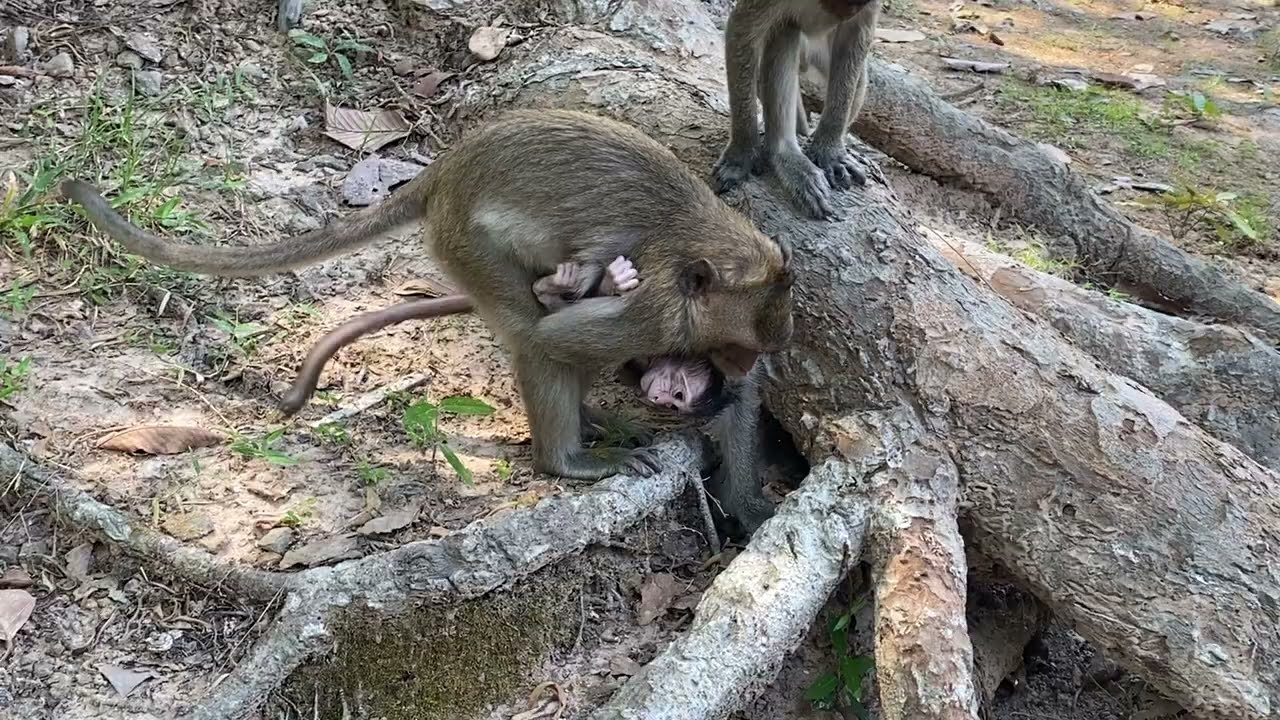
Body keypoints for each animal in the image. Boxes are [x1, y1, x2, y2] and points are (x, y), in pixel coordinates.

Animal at [61, 109, 795, 485]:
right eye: (737, 347)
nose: (745, 371)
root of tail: (445, 172)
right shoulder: (657, 314)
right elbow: (549, 344)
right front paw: (570, 458)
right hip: (466, 244)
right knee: (531, 331)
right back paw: (566, 455)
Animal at [713, 0, 881, 219]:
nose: (847, 11)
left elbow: (857, 30)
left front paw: (831, 152)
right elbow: (743, 31)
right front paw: (742, 153)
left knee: (859, 76)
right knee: (786, 29)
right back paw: (784, 151)